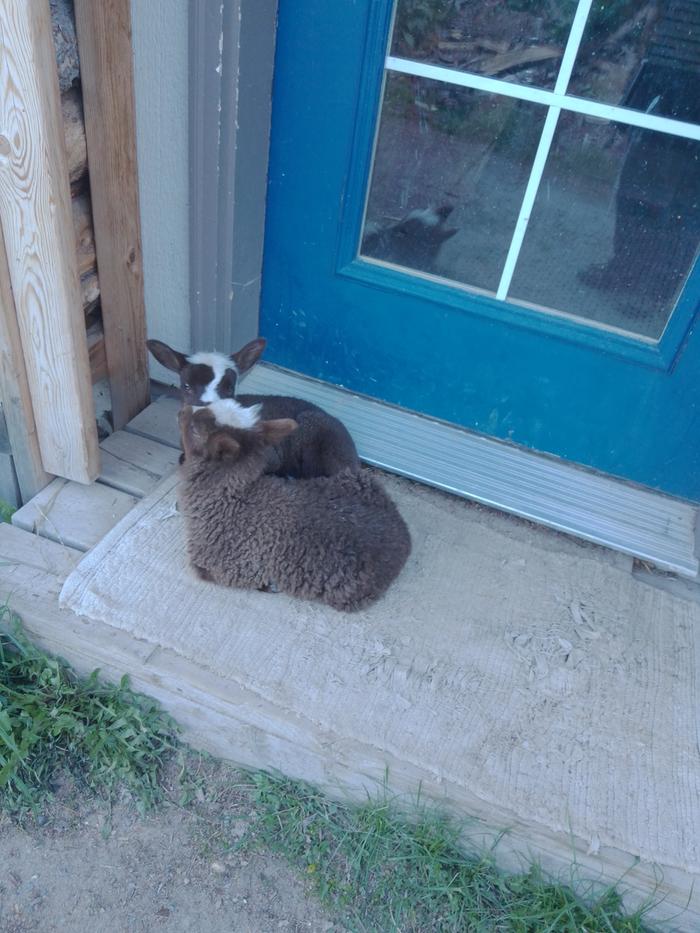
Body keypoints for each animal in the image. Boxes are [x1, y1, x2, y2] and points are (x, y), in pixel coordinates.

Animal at [178, 406, 412, 612]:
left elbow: (205, 572)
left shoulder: (222, 564)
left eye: (195, 430)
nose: (182, 410)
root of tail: (404, 537)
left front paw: (268, 585)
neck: (233, 495)